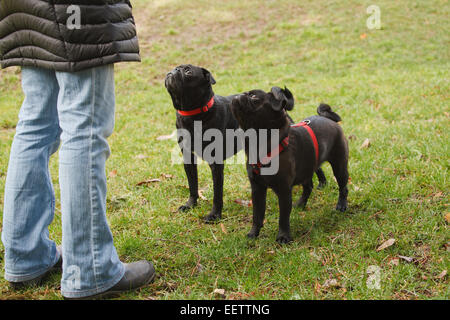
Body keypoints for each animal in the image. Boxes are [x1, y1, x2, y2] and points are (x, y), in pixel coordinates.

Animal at [230, 86, 350, 244]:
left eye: (254, 97)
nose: (239, 95)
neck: (259, 143)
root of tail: (328, 119)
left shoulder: (283, 190)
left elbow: (283, 217)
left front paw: (283, 236)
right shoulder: (257, 189)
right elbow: (257, 215)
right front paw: (253, 234)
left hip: (339, 165)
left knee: (343, 187)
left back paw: (341, 205)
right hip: (307, 168)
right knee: (308, 187)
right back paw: (300, 204)